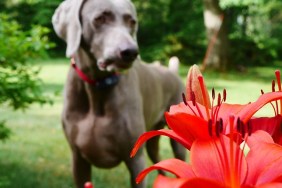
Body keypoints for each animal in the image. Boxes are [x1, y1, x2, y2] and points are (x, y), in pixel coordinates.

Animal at [52, 0, 185, 187]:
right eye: (100, 18)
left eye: (132, 22)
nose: (130, 52)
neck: (97, 86)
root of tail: (173, 71)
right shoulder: (78, 159)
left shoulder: (136, 160)